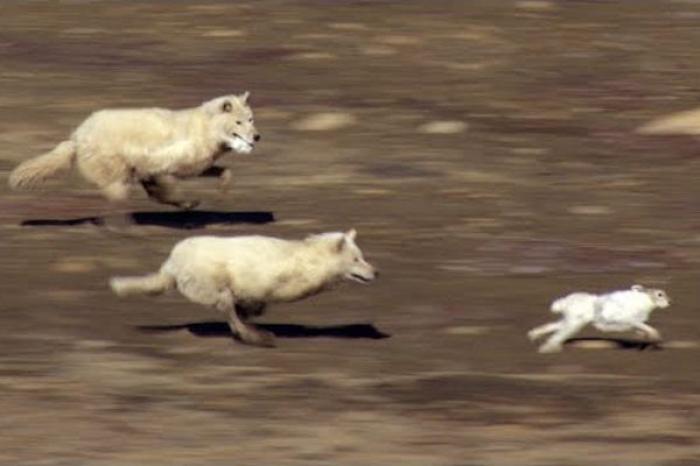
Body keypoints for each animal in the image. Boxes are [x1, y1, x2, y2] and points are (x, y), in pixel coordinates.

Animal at [8, 92, 260, 208]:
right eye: (239, 122)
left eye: (251, 119)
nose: (257, 137)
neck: (205, 128)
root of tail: (77, 135)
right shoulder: (161, 163)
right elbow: (165, 188)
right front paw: (184, 202)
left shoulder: (194, 166)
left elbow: (224, 171)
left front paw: (223, 190)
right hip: (114, 167)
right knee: (115, 192)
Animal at [110, 229, 378, 346]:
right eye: (356, 259)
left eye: (363, 257)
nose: (376, 272)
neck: (309, 260)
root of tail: (170, 264)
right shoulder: (253, 284)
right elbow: (244, 306)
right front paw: (250, 323)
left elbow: (252, 308)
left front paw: (251, 315)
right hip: (214, 286)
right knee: (228, 311)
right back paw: (254, 336)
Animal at [528, 284, 668, 354]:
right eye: (660, 294)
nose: (669, 302)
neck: (647, 300)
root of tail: (564, 303)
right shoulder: (633, 321)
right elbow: (651, 330)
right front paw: (655, 340)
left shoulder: (636, 325)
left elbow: (643, 333)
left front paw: (643, 347)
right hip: (574, 322)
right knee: (560, 334)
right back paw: (548, 349)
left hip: (570, 320)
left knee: (554, 328)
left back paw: (534, 336)